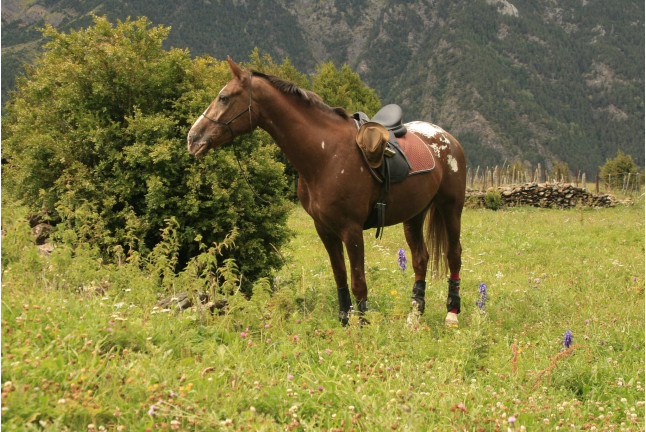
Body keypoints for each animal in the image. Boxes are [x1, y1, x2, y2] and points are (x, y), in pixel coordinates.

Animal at [187, 58, 467, 326]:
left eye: (224, 97)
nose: (192, 138)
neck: (326, 154)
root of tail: (447, 137)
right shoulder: (325, 229)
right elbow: (340, 276)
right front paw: (344, 320)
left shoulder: (351, 230)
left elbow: (358, 281)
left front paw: (362, 325)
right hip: (414, 216)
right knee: (420, 259)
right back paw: (415, 315)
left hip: (451, 208)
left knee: (454, 254)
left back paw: (452, 313)